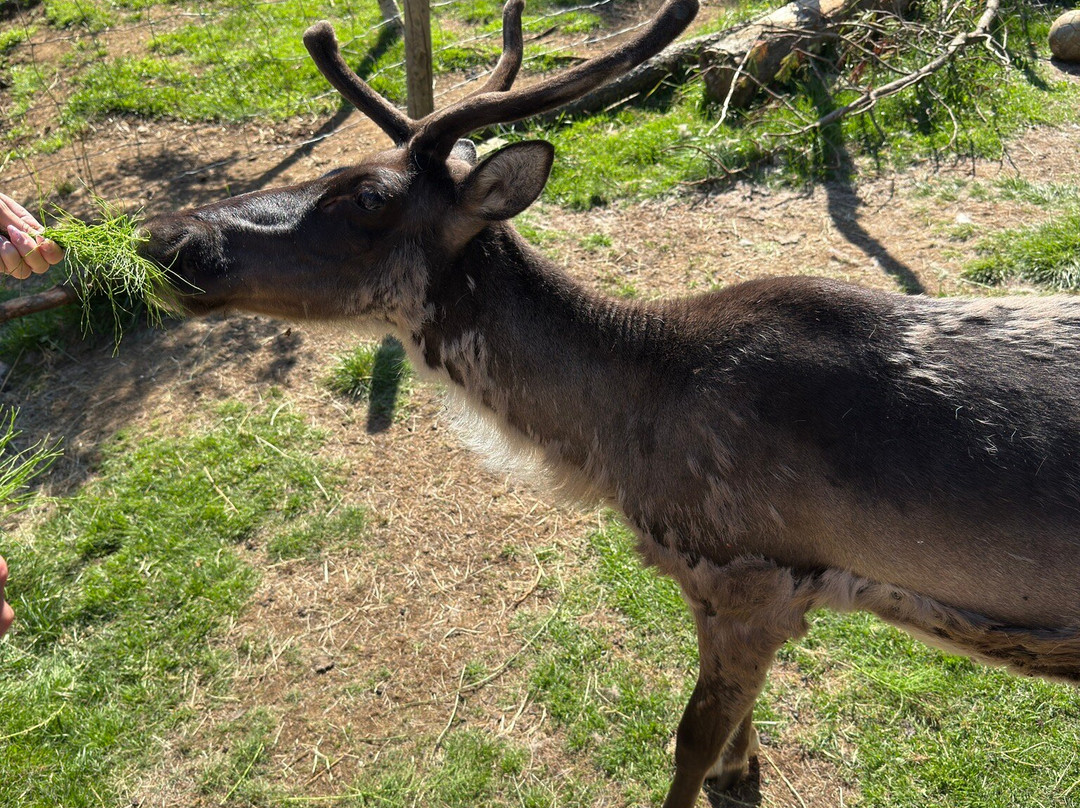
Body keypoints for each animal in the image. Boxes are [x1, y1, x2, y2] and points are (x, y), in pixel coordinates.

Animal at [138, 0, 1080, 804]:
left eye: (368, 197)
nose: (169, 238)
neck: (620, 448)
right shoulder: (726, 590)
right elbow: (733, 734)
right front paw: (744, 772)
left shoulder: (753, 574)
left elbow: (690, 742)